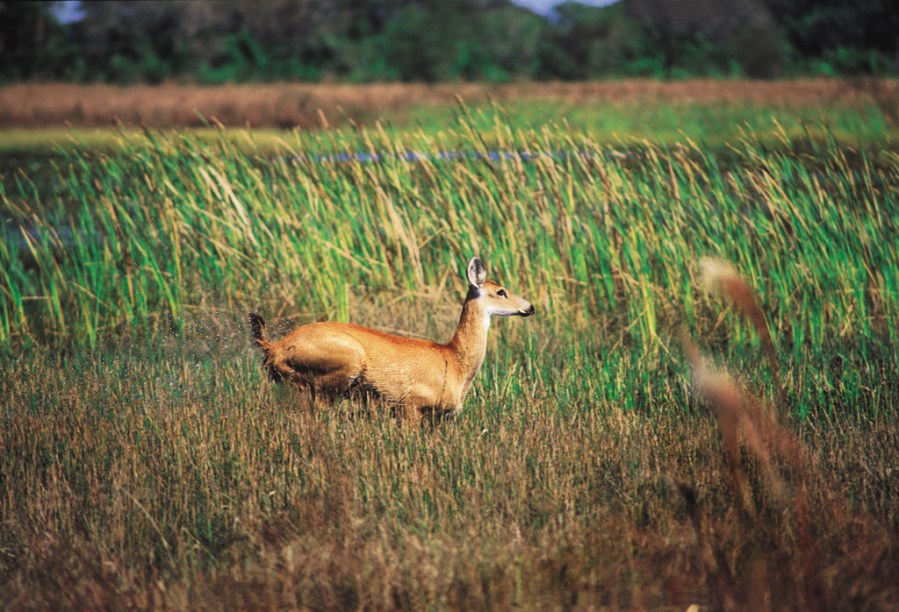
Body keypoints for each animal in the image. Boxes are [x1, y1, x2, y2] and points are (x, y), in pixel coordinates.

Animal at [248, 255, 536, 420]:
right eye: (501, 291)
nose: (530, 307)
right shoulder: (410, 405)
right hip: (342, 368)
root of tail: (274, 347)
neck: (454, 361)